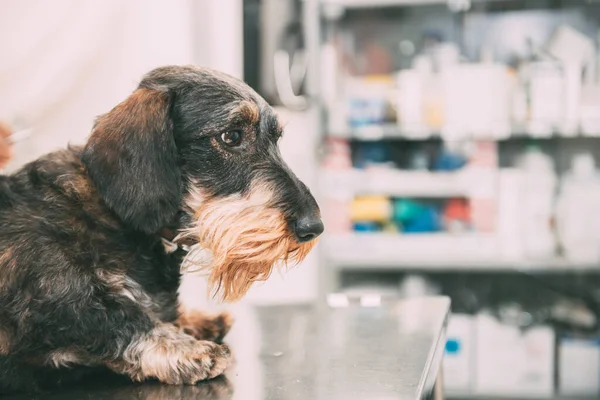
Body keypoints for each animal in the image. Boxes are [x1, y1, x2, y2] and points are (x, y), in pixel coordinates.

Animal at [0, 66, 324, 394]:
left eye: (276, 139)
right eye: (231, 136)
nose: (314, 227)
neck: (113, 216)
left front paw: (194, 319)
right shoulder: (51, 300)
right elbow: (120, 320)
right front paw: (190, 350)